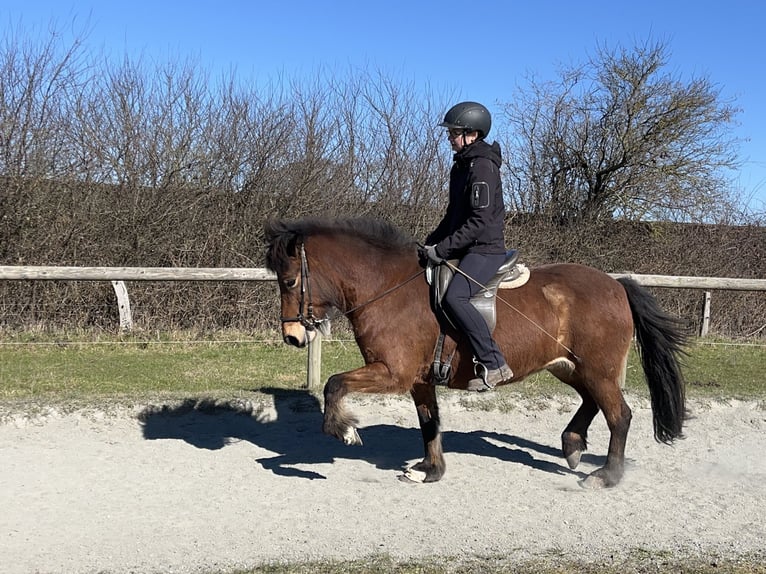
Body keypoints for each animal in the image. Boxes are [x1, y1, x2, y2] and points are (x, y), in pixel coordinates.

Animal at [264, 217, 687, 488]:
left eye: (290, 281)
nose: (292, 337)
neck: (388, 288)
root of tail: (616, 286)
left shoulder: (393, 372)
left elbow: (334, 384)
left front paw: (345, 429)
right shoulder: (419, 379)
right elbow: (429, 423)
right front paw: (429, 470)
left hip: (597, 369)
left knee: (620, 415)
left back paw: (606, 476)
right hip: (570, 366)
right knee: (591, 402)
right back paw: (572, 444)